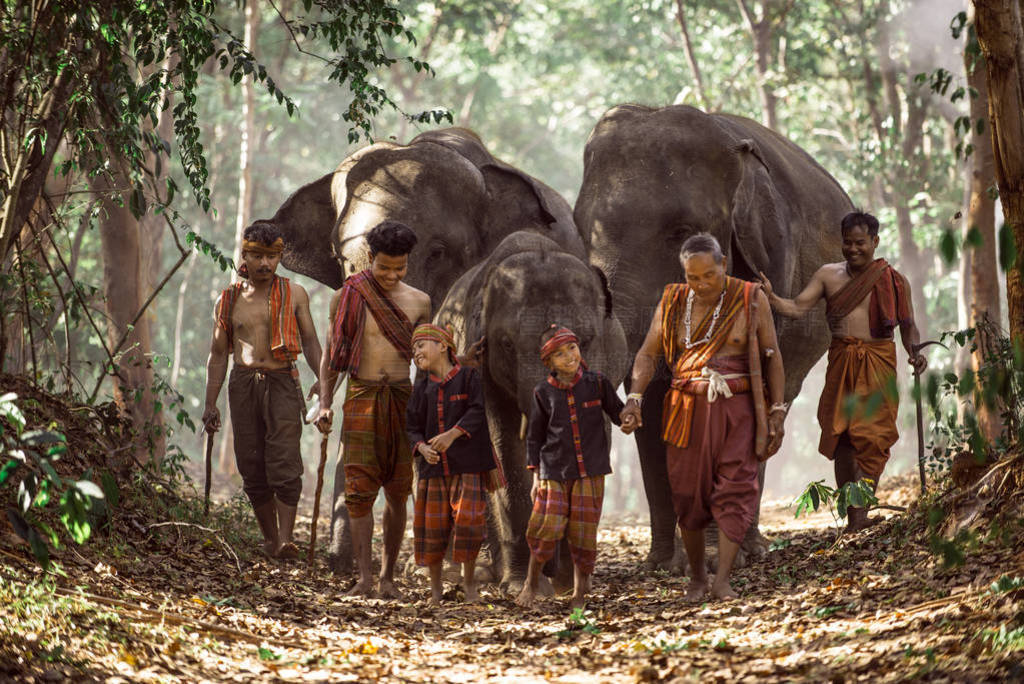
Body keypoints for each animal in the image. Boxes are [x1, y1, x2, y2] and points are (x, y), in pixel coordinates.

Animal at [577, 102, 856, 573]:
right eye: (581, 229)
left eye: (681, 231)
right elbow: (658, 397)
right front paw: (662, 564)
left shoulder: (770, 264)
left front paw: (709, 558)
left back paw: (751, 546)